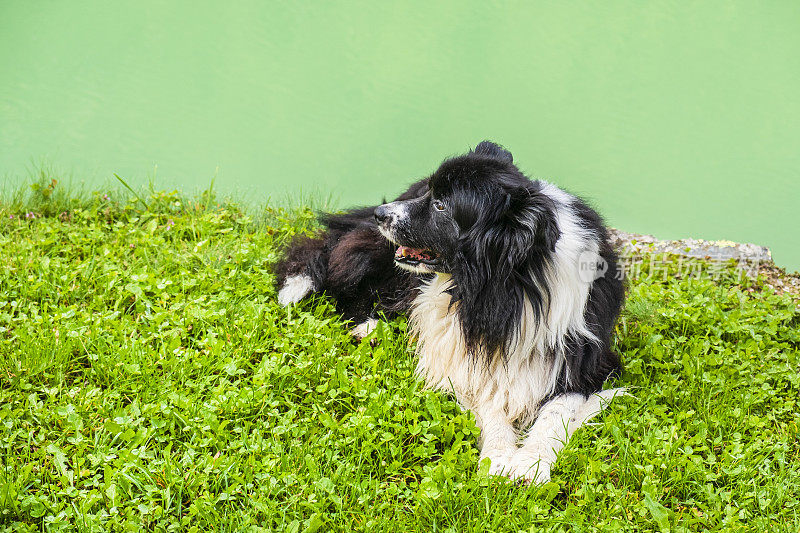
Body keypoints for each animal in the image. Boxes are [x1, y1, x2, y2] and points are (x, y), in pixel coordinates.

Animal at [276, 141, 624, 482]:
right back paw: (368, 328)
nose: (380, 214)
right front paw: (499, 457)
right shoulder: (459, 351)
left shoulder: (586, 358)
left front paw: (530, 464)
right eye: (430, 194)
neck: (511, 287)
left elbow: (558, 410)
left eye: (441, 206)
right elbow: (490, 397)